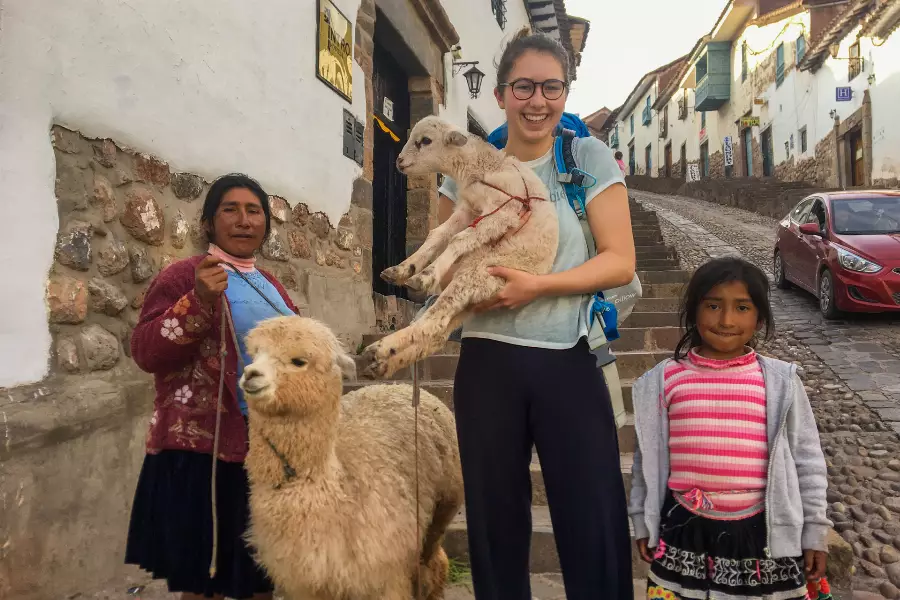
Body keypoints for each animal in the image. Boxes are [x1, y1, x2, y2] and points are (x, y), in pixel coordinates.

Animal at [238, 315, 464, 600]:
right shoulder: (305, 581)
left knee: (433, 560)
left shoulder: (383, 572)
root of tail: (399, 386)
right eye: (254, 354)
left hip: (444, 504)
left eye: (299, 361)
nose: (251, 374)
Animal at [361, 115, 559, 378]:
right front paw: (403, 269)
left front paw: (426, 275)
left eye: (425, 140)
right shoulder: (468, 209)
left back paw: (381, 349)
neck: (481, 166)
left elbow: (459, 239)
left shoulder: (503, 210)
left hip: (478, 273)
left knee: (433, 322)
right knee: (436, 333)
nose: (399, 161)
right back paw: (384, 362)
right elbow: (437, 235)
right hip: (472, 294)